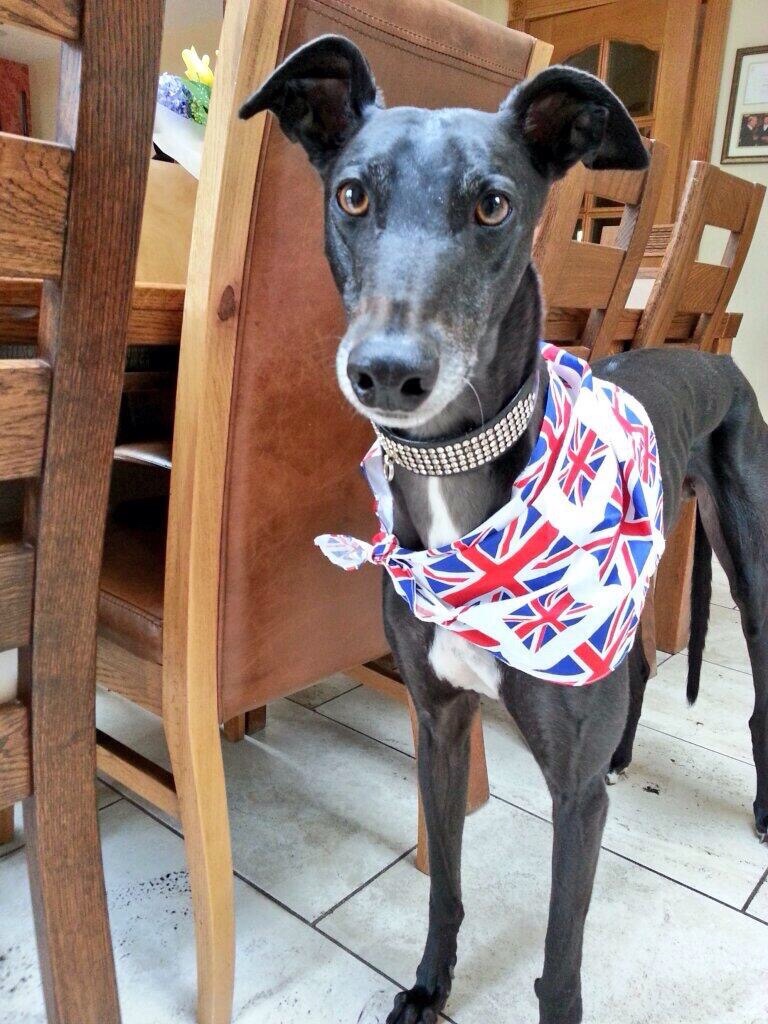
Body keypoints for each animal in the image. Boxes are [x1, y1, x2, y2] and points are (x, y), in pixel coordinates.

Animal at [241, 36, 768, 1024]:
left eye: (493, 203)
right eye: (351, 194)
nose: (387, 374)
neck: (459, 474)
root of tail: (716, 354)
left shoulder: (569, 800)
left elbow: (560, 961)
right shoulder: (439, 724)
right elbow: (445, 884)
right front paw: (427, 986)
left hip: (751, 564)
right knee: (638, 668)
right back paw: (623, 753)